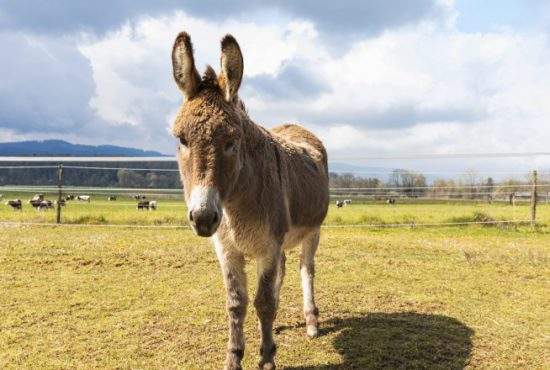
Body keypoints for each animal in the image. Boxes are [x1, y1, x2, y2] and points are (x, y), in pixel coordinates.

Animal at [170, 32, 330, 370]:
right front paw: (235, 357)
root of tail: (295, 125)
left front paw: (267, 358)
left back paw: (311, 322)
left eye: (232, 142)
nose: (202, 218)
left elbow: (263, 302)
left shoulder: (268, 246)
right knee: (283, 271)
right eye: (182, 140)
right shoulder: (227, 249)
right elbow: (237, 303)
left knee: (306, 269)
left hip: (313, 231)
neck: (235, 205)